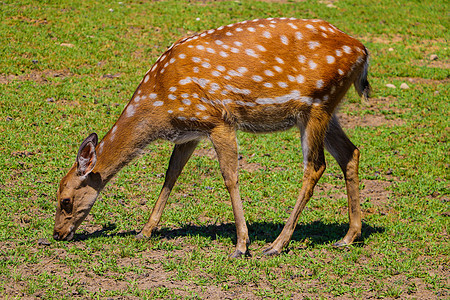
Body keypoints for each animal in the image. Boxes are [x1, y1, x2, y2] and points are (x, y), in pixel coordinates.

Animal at [53, 18, 370, 258]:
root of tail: (363, 51)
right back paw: (348, 236)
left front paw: (241, 246)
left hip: (317, 104)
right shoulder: (190, 131)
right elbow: (171, 174)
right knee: (350, 153)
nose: (57, 234)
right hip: (328, 108)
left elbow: (230, 177)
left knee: (315, 166)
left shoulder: (219, 120)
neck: (160, 102)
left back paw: (277, 245)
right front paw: (145, 231)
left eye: (65, 200)